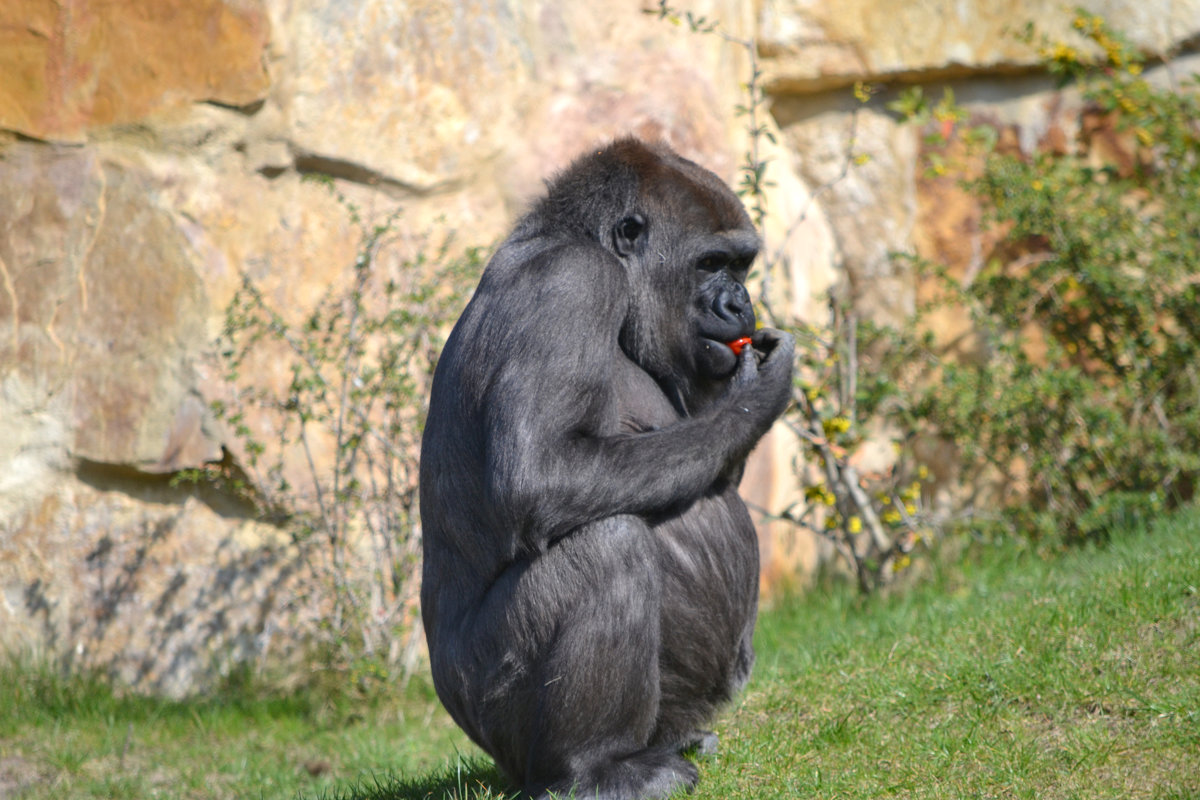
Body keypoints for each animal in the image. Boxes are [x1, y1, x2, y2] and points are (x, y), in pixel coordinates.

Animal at [422, 139, 796, 800]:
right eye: (710, 263)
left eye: (742, 265)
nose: (740, 303)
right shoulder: (571, 283)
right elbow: (539, 474)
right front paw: (756, 396)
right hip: (492, 720)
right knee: (606, 544)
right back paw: (593, 769)